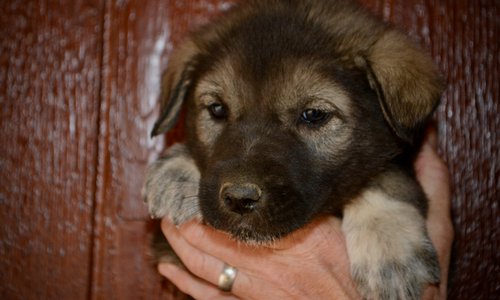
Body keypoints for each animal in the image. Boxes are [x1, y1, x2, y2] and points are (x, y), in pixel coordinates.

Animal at [143, 1, 444, 298]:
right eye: (217, 109)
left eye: (313, 115)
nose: (240, 199)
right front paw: (177, 172)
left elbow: (385, 176)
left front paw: (390, 250)